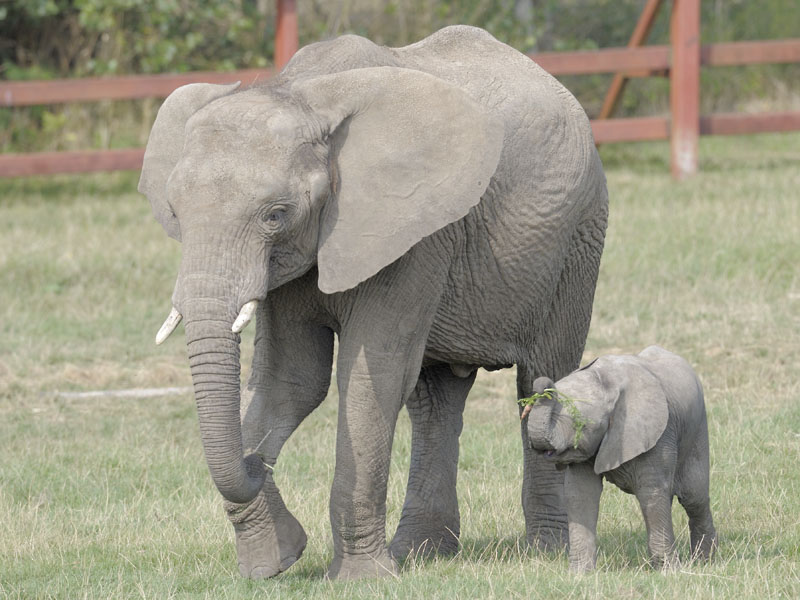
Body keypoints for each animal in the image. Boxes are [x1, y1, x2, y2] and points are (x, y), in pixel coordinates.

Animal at [138, 25, 608, 580]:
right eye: (175, 212)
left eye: (276, 215)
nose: (257, 458)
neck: (300, 94)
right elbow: (291, 380)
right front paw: (273, 563)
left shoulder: (414, 232)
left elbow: (370, 378)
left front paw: (360, 579)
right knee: (434, 397)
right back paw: (423, 552)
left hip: (577, 239)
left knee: (542, 374)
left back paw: (548, 552)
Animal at [524, 346, 718, 572]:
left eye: (582, 424)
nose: (541, 384)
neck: (604, 381)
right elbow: (580, 494)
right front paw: (580, 574)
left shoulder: (657, 434)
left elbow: (651, 492)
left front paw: (669, 572)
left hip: (697, 431)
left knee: (693, 497)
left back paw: (704, 561)